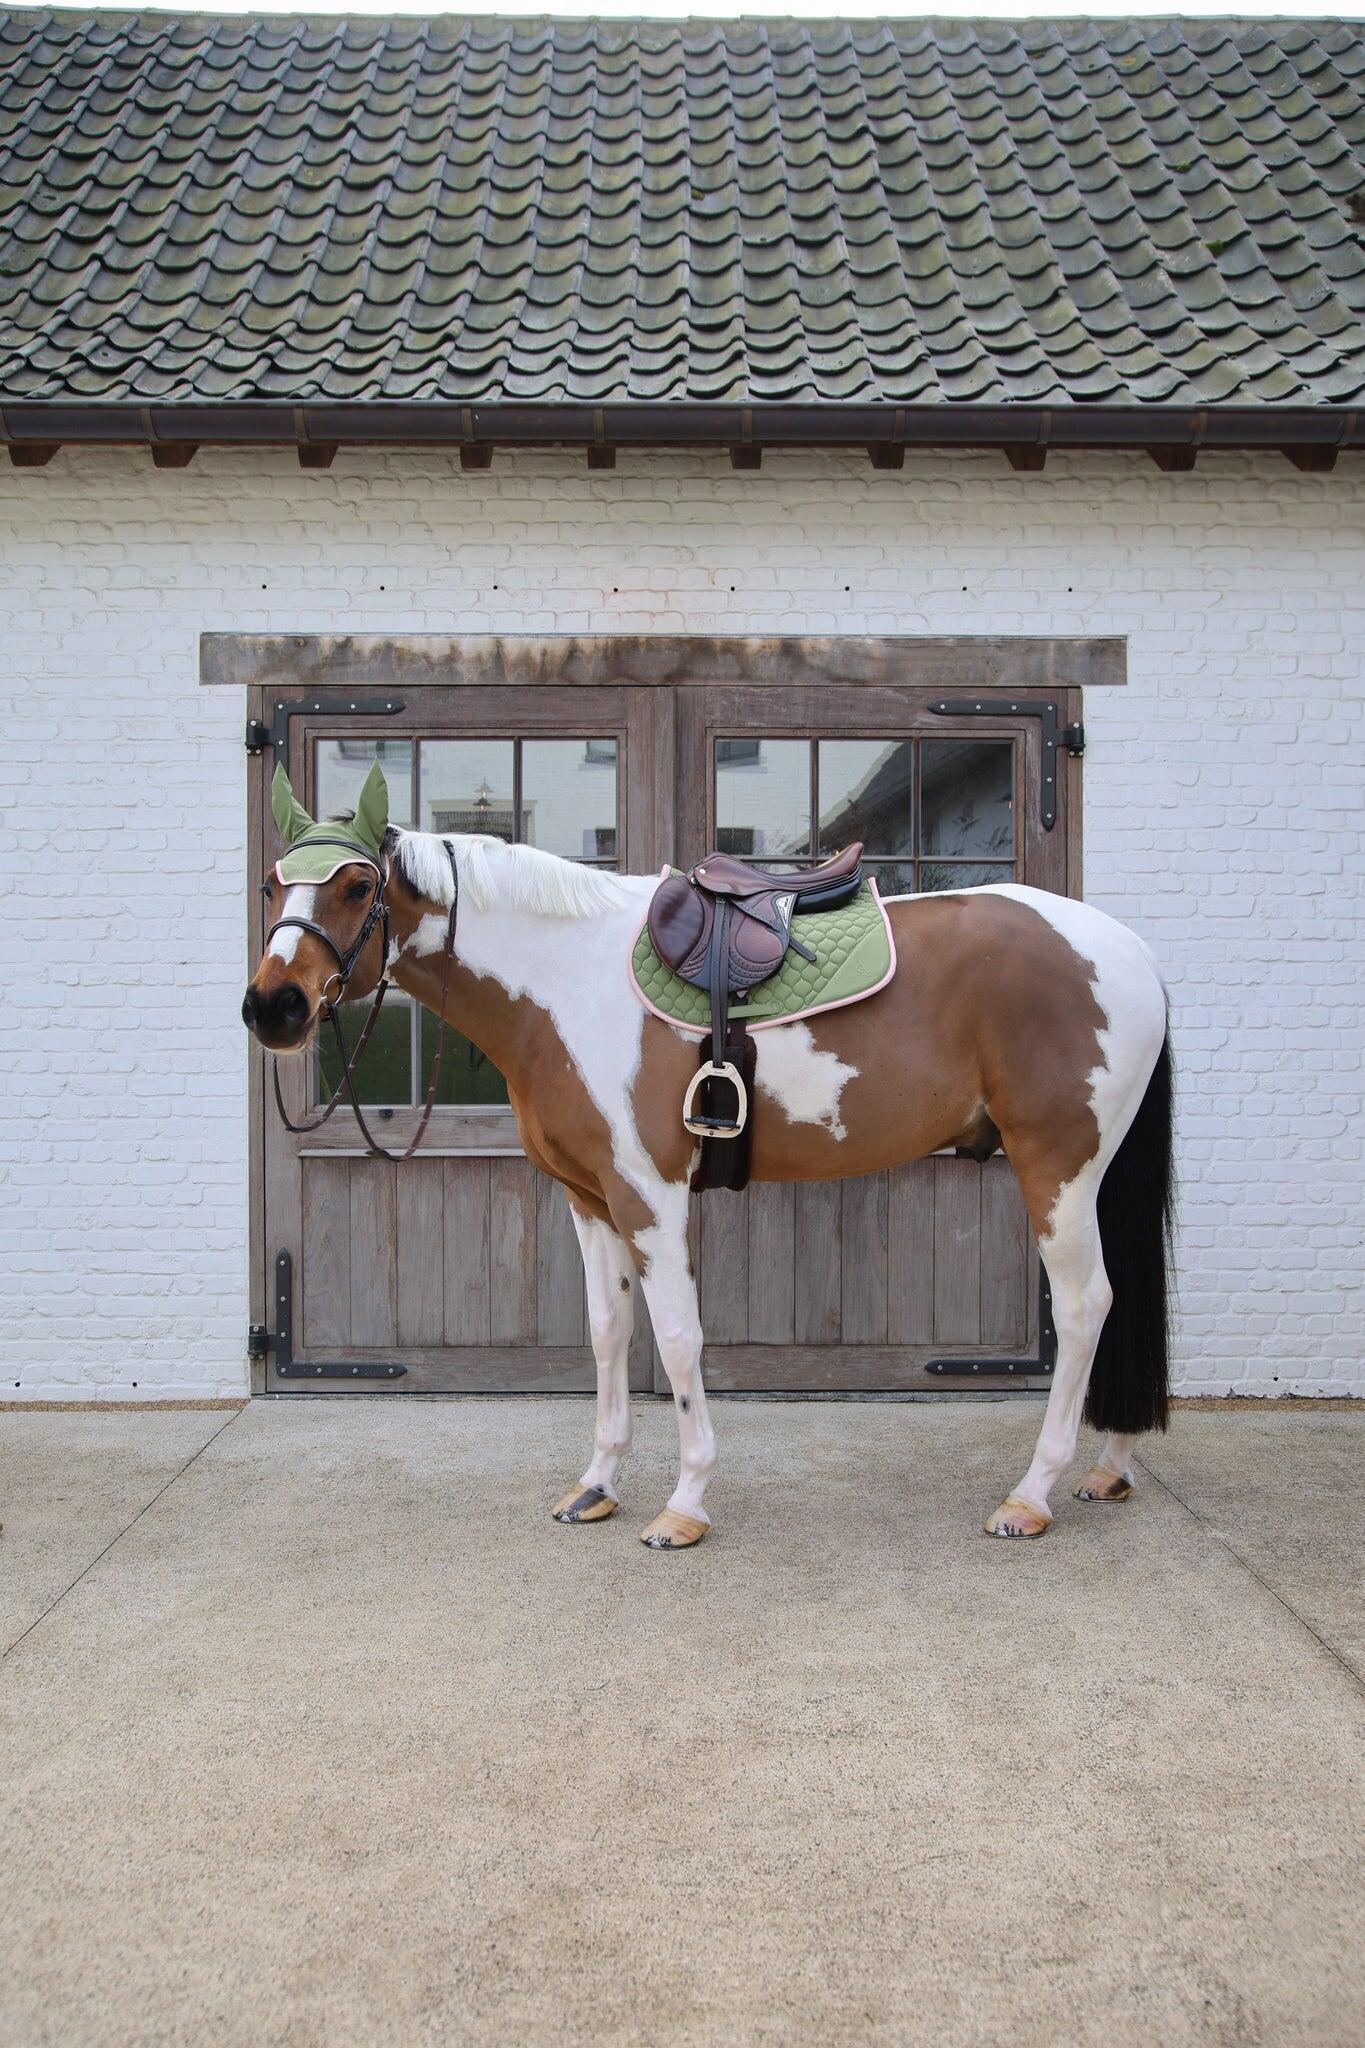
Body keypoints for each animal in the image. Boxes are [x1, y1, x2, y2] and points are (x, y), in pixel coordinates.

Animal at [243, 763, 1174, 1550]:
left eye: (358, 884)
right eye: (272, 884)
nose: (272, 1008)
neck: (566, 979)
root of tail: (1128, 952)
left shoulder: (650, 1196)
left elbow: (679, 1339)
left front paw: (683, 1505)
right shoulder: (590, 1198)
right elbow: (608, 1333)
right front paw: (596, 1486)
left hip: (1056, 1169)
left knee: (1084, 1305)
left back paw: (1030, 1495)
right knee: (1115, 1302)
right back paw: (1109, 1468)